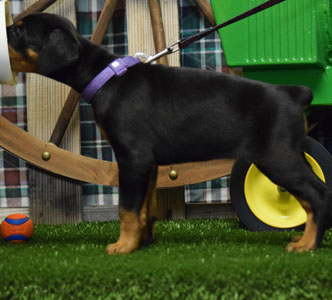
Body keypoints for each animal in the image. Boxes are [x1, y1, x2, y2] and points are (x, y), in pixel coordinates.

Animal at [7, 12, 332, 254]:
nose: (4, 29)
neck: (105, 77)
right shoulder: (148, 164)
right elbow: (144, 208)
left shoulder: (132, 158)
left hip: (276, 156)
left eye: (19, 31)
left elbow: (126, 208)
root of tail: (291, 93)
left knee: (317, 194)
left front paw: (122, 247)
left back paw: (308, 245)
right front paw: (142, 243)